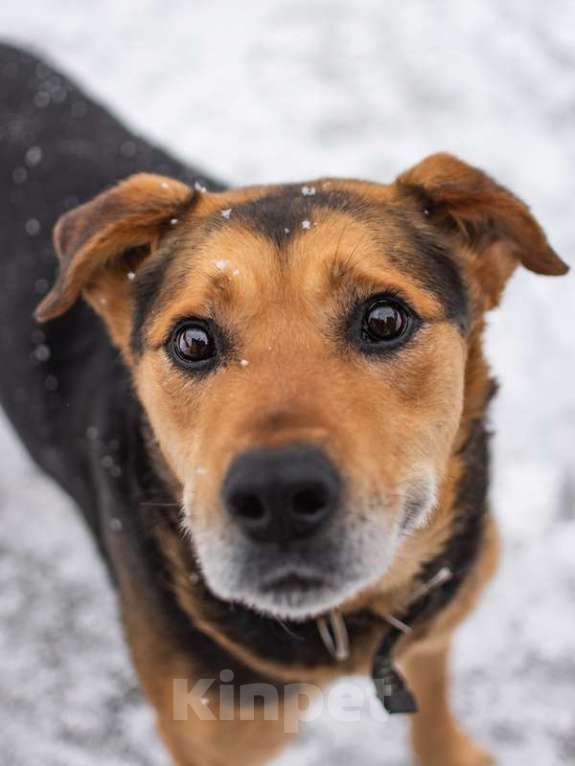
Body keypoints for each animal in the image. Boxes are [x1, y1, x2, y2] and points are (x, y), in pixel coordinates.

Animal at [0, 43, 568, 766]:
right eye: (192, 340)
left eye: (384, 319)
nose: (276, 498)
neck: (344, 625)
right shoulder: (209, 735)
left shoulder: (432, 624)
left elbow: (433, 703)